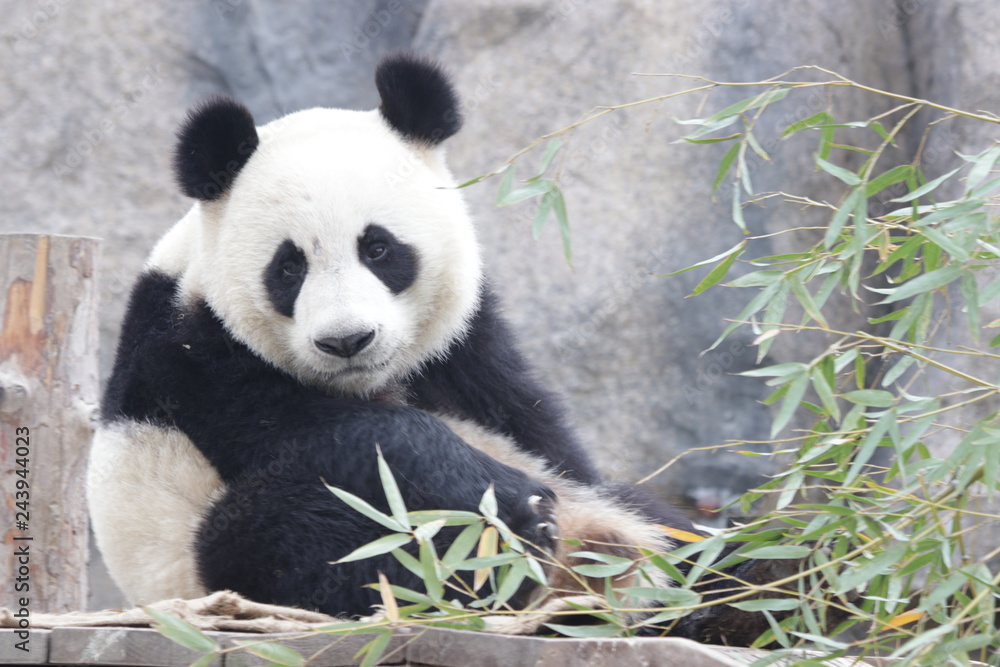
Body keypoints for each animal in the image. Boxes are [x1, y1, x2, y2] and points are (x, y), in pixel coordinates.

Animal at [88, 53, 800, 646]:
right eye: (288, 268)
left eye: (378, 248)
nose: (347, 340)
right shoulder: (190, 354)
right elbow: (345, 439)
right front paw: (512, 506)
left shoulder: (464, 350)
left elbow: (540, 434)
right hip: (206, 560)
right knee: (289, 535)